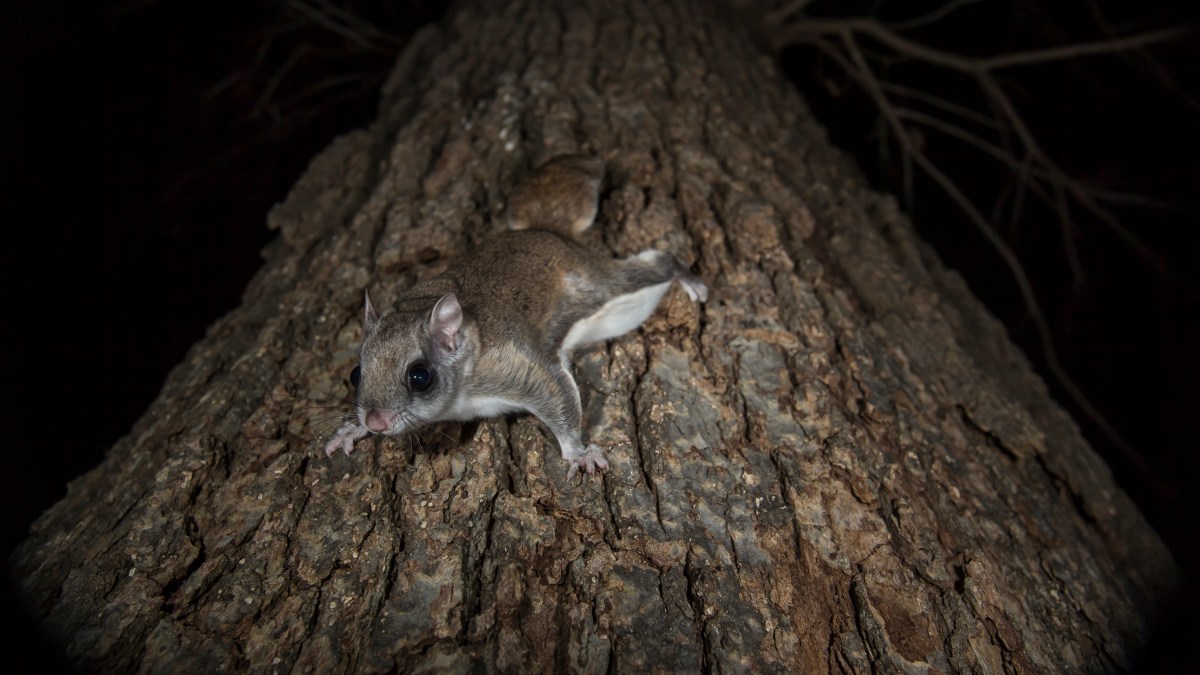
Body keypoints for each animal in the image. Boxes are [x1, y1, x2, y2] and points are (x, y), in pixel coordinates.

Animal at [324, 153, 705, 478]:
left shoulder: (515, 367)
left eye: (420, 377)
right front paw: (350, 429)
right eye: (355, 375)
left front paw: (578, 453)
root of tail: (547, 231)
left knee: (657, 265)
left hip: (607, 292)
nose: (376, 423)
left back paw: (689, 280)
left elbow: (558, 398)